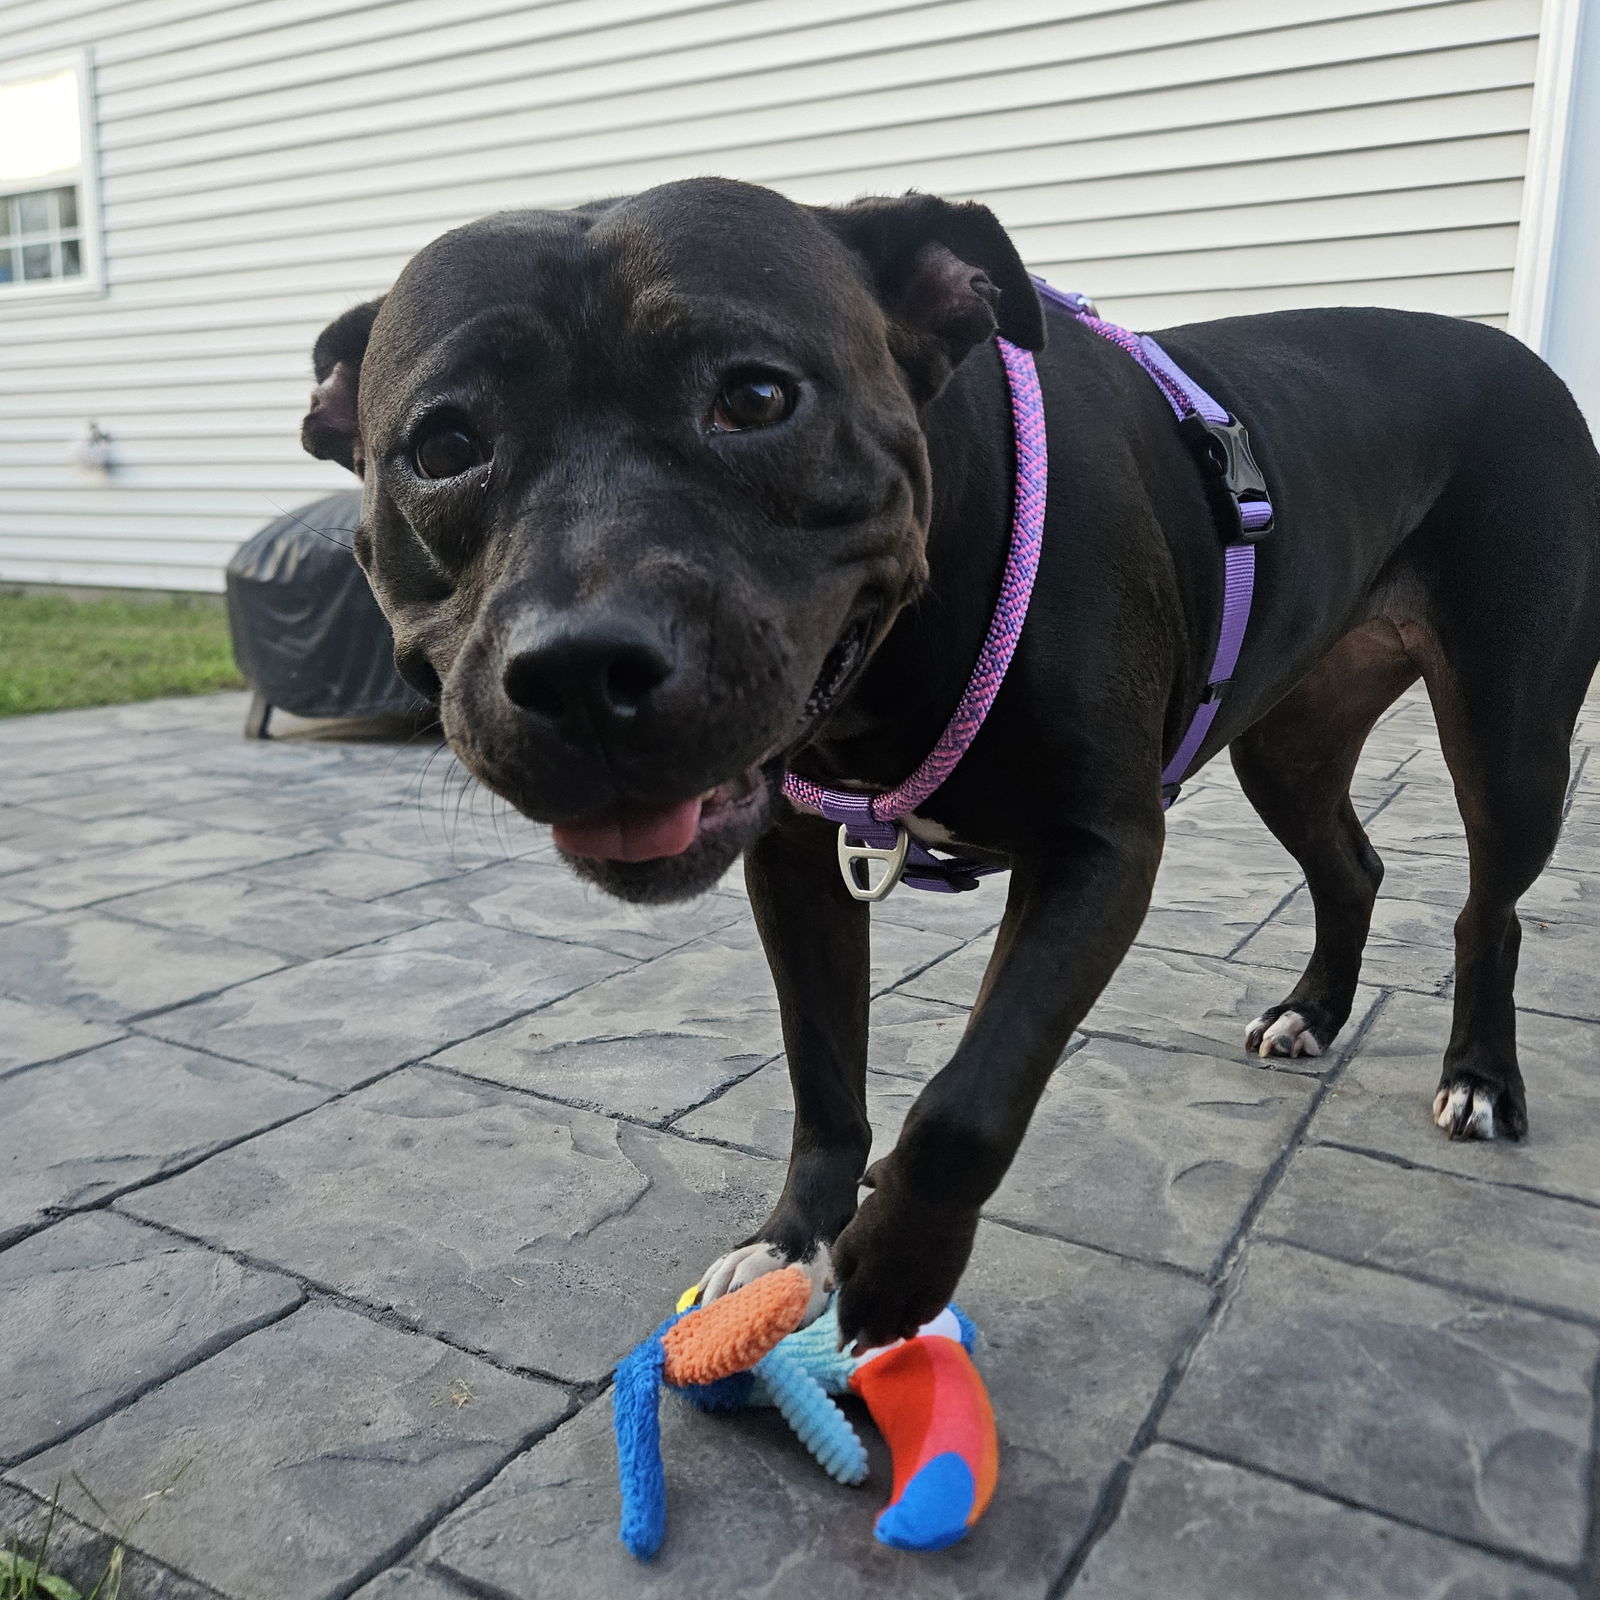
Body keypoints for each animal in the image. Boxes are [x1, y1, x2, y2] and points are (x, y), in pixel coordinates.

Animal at [302, 178, 1600, 1350]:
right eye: (444, 445)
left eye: (756, 395)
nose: (581, 671)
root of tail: (1523, 362)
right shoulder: (795, 862)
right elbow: (824, 1076)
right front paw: (790, 1241)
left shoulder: (1098, 848)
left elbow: (970, 1096)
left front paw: (892, 1265)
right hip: (1291, 739)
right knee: (1350, 866)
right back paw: (1312, 1013)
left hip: (1509, 736)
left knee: (1489, 907)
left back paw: (1481, 1076)